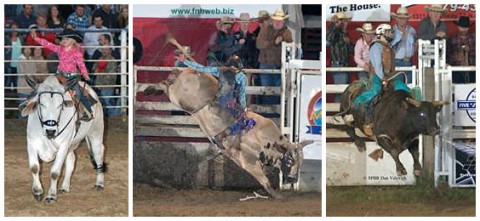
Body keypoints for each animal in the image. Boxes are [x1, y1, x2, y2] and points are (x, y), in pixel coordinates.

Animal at [20, 76, 105, 204]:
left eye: (60, 105)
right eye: (41, 103)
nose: (50, 130)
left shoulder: (63, 145)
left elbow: (55, 172)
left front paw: (51, 196)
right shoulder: (31, 143)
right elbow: (34, 167)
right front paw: (37, 192)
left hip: (96, 133)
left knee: (98, 154)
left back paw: (99, 184)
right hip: (72, 144)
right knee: (71, 159)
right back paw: (64, 187)